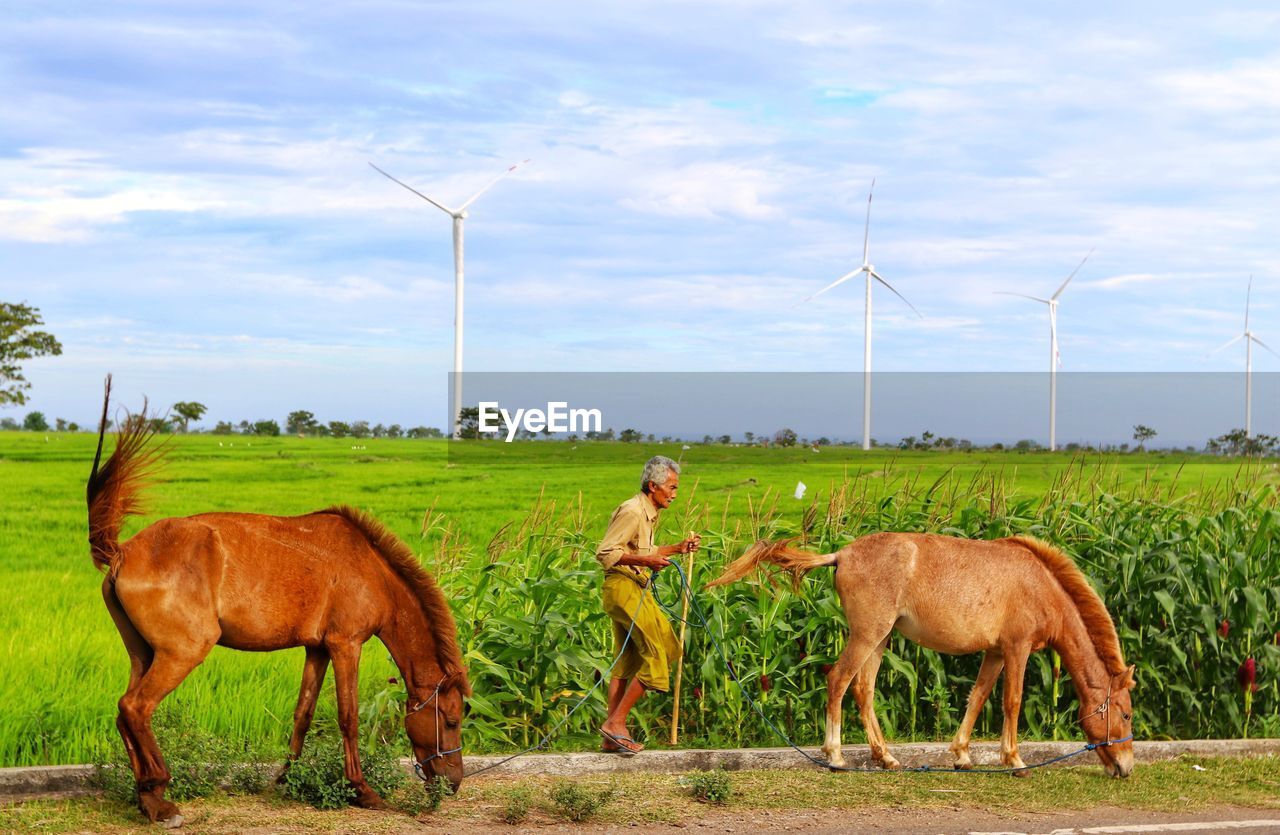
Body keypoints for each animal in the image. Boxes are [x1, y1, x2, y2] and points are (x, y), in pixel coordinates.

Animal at [87, 381, 473, 824]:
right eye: (452, 720)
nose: (454, 783)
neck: (370, 569)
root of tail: (121, 552)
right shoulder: (346, 645)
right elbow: (348, 717)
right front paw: (361, 790)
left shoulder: (317, 649)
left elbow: (303, 713)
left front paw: (286, 779)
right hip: (181, 653)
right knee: (136, 707)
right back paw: (159, 794)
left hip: (144, 654)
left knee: (124, 713)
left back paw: (147, 796)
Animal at [711, 535, 1141, 778]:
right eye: (1125, 714)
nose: (1126, 767)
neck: (1039, 584)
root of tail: (842, 554)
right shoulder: (1016, 649)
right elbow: (1012, 702)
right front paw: (1014, 761)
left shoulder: (995, 653)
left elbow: (978, 698)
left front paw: (962, 755)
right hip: (867, 635)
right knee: (839, 681)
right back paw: (835, 756)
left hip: (881, 638)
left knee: (864, 690)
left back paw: (886, 758)